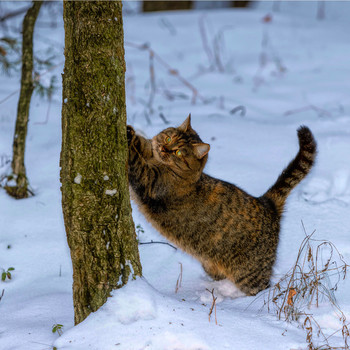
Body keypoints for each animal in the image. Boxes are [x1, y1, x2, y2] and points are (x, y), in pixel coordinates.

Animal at [126, 115, 318, 296]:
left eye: (178, 152)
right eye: (168, 138)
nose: (164, 148)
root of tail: (266, 202)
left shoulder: (151, 182)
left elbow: (136, 162)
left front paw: (129, 140)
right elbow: (144, 144)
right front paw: (132, 132)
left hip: (249, 274)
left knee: (263, 289)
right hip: (211, 267)